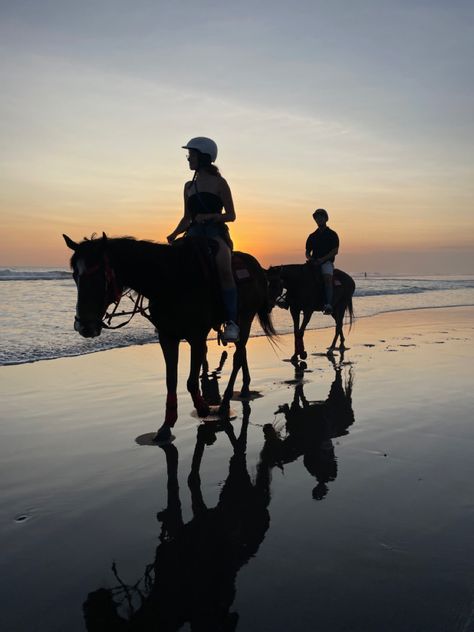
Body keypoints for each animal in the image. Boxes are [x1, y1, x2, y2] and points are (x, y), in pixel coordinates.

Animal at [65, 231, 276, 440]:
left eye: (100, 275)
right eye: (75, 276)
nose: (84, 325)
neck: (171, 282)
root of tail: (257, 267)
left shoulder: (197, 337)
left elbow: (191, 381)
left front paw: (203, 408)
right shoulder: (167, 337)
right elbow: (171, 381)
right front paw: (166, 426)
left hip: (246, 317)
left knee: (238, 357)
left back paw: (224, 405)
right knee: (242, 353)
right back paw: (245, 389)